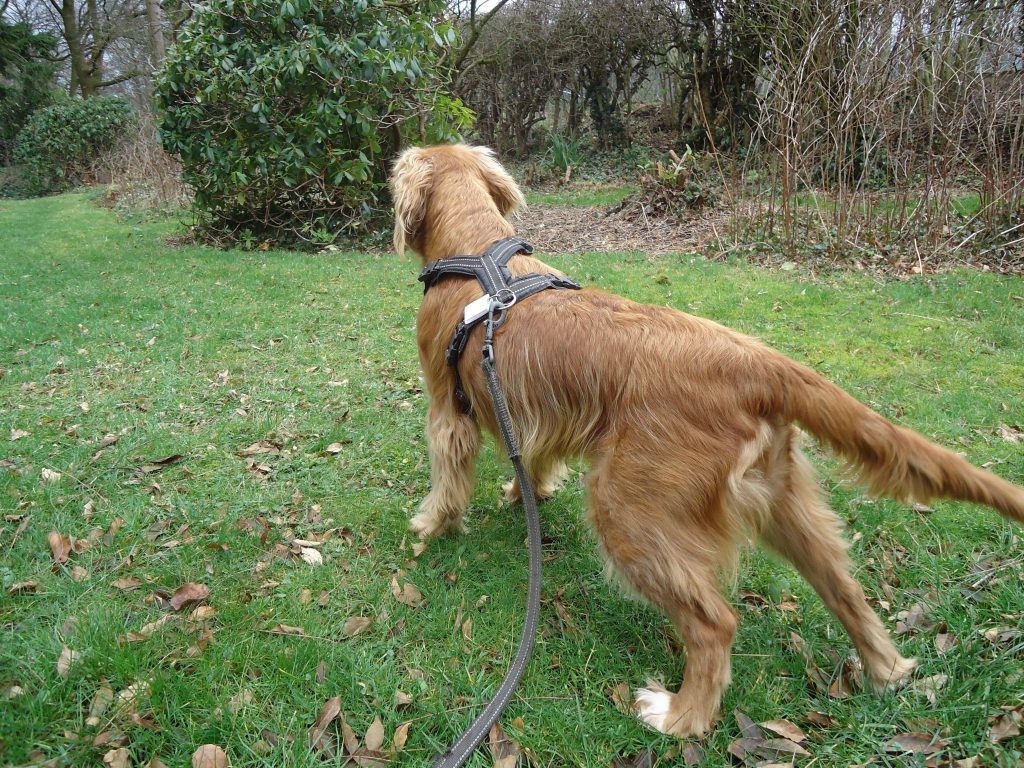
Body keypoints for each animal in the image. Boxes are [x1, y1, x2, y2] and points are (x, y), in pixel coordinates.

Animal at [389, 143, 1024, 741]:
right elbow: (537, 458)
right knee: (848, 594)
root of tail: (755, 362)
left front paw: (431, 525)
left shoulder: (447, 408)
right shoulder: (528, 413)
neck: (480, 252)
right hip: (786, 504)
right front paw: (529, 492)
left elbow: (447, 473)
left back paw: (681, 715)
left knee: (715, 625)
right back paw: (886, 671)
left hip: (629, 509)